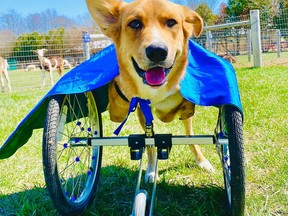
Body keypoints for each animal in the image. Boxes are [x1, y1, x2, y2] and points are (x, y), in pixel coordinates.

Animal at [86, 0, 215, 182]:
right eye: (135, 23)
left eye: (171, 22)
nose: (157, 51)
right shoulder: (143, 112)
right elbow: (150, 143)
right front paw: (151, 170)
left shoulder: (187, 111)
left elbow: (191, 136)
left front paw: (202, 161)